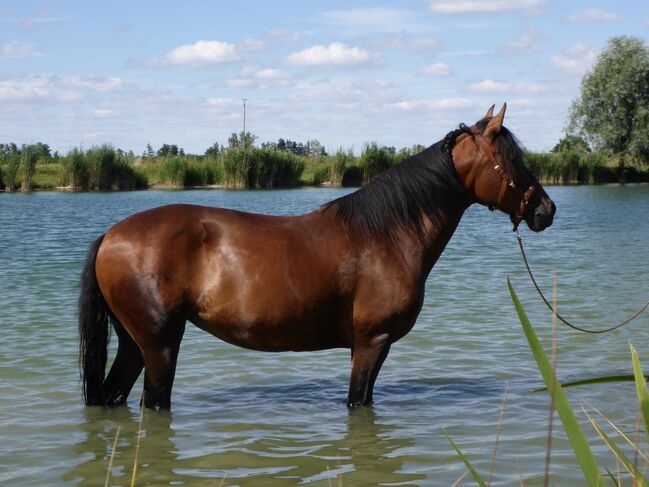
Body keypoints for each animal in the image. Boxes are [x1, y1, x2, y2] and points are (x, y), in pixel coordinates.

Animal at [76, 105, 552, 410]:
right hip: (159, 345)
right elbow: (357, 402)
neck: (388, 234)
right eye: (512, 158)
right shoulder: (371, 343)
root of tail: (112, 235)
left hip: (134, 344)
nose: (545, 209)